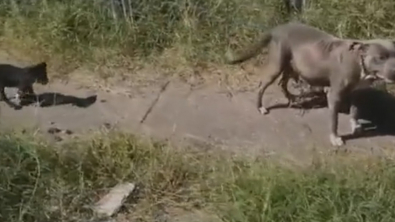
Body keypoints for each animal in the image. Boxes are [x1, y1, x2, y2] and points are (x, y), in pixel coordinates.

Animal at [227, 21, 395, 147]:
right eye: (380, 57)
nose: (394, 72)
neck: (359, 62)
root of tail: (278, 28)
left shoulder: (356, 91)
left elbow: (355, 110)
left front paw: (355, 125)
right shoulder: (334, 95)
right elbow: (334, 120)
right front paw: (335, 138)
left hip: (292, 66)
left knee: (282, 83)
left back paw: (292, 98)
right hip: (277, 65)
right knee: (263, 85)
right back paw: (260, 107)